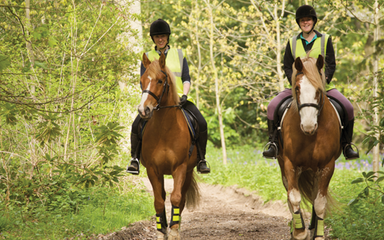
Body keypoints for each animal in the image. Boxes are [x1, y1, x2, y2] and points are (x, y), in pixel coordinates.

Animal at [136, 52, 200, 238]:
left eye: (159, 81)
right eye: (142, 81)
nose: (143, 110)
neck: (165, 129)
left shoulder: (180, 167)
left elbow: (176, 198)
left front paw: (173, 231)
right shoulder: (153, 169)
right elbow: (158, 201)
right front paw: (161, 231)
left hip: (188, 171)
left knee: (181, 199)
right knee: (163, 196)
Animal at [278, 54, 340, 240]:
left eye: (319, 90)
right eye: (297, 88)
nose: (308, 125)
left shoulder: (327, 166)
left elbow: (319, 202)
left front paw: (318, 235)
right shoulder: (290, 164)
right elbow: (294, 197)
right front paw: (299, 231)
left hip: (315, 171)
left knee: (313, 197)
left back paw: (312, 227)